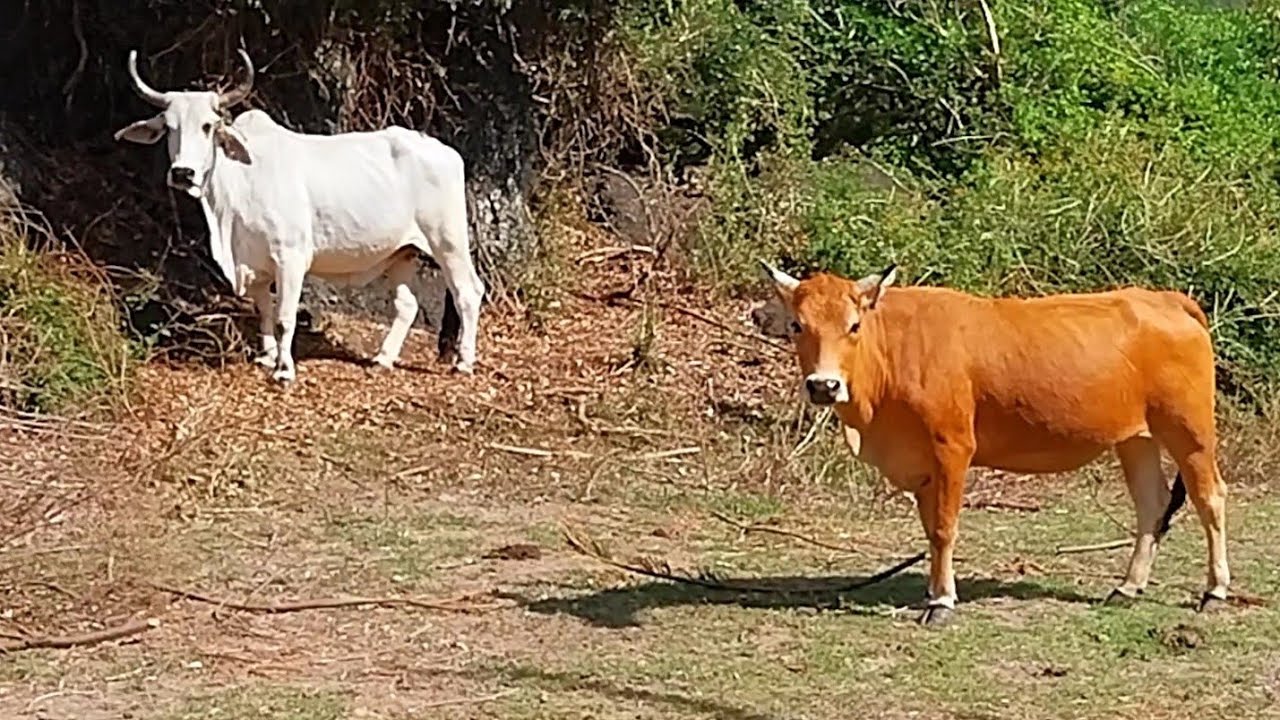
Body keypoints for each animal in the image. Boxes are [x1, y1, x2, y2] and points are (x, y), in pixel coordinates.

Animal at [113, 49, 484, 383]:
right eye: (169, 127)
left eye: (208, 126)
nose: (183, 173)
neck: (238, 187)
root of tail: (445, 151)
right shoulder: (256, 264)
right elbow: (264, 310)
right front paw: (266, 356)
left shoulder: (290, 258)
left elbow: (284, 317)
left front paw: (284, 369)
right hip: (402, 252)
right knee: (407, 305)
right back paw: (383, 358)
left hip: (448, 241)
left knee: (468, 291)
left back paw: (463, 362)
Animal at [761, 261, 1230, 626]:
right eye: (798, 325)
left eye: (853, 326)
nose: (823, 386)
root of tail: (1165, 300)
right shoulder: (921, 464)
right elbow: (930, 528)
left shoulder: (951, 446)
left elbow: (944, 528)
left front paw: (942, 602)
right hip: (1136, 437)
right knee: (1152, 504)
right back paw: (1128, 587)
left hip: (1190, 429)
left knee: (1210, 498)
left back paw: (1215, 591)